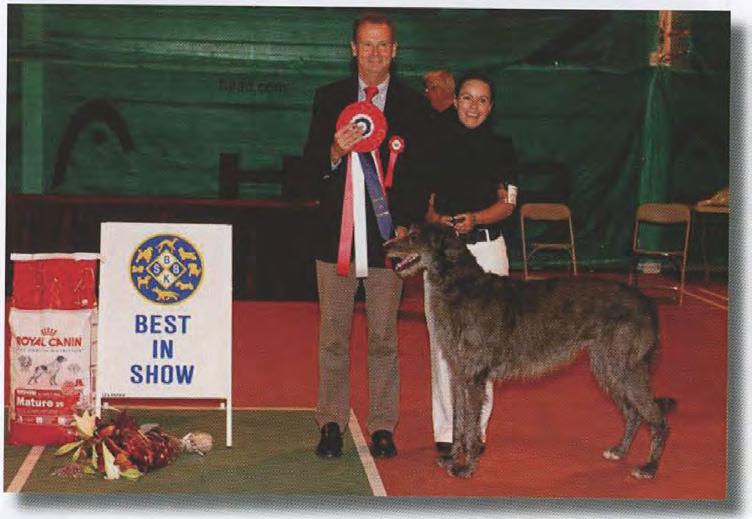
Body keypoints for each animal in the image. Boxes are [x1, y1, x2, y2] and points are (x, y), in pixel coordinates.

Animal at [384, 225, 672, 482]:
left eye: (414, 236)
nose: (385, 246)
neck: (461, 286)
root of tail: (647, 302)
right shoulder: (458, 373)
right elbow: (458, 422)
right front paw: (452, 457)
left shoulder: (475, 376)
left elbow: (470, 426)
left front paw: (467, 466)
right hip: (607, 365)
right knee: (633, 413)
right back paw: (620, 451)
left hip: (625, 367)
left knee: (657, 417)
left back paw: (649, 467)